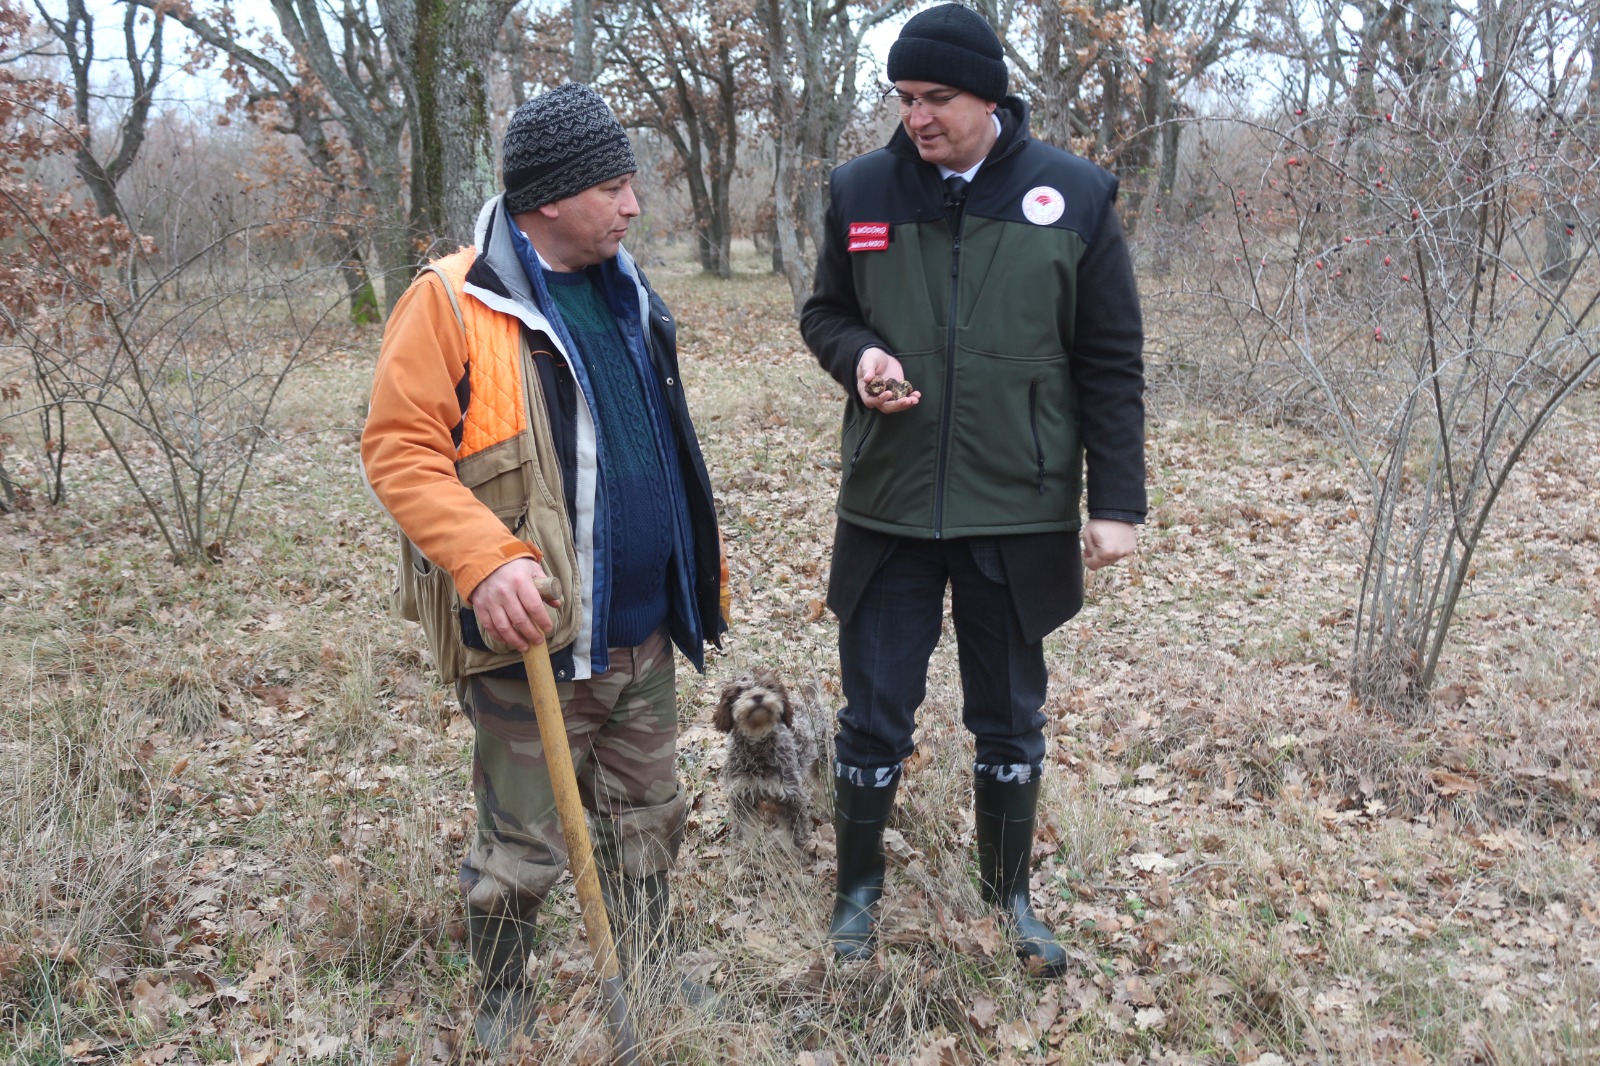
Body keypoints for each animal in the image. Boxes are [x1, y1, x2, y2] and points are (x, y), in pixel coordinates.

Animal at [713, 669, 823, 848]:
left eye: (768, 687)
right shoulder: (742, 797)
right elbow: (744, 832)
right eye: (740, 690)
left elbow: (795, 836)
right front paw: (743, 853)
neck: (756, 751)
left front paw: (798, 855)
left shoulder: (791, 796)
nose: (758, 696)